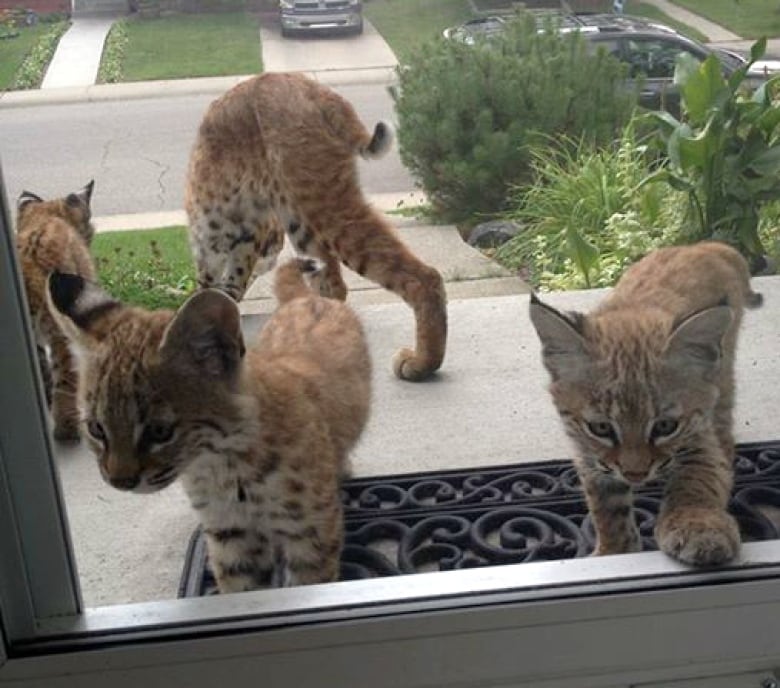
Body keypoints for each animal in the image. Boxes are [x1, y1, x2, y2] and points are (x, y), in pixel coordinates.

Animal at [48, 258, 372, 592]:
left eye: (160, 431)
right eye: (97, 429)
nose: (119, 482)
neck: (225, 464)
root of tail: (307, 299)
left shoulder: (308, 532)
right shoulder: (230, 532)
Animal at [185, 71, 448, 382]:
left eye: (269, 243)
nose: (269, 256)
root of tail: (315, 87)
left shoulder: (223, 253)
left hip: (320, 202)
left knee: (422, 275)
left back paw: (422, 363)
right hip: (301, 221)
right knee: (334, 285)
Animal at [532, 242, 760, 564]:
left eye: (665, 426)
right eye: (601, 428)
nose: (635, 475)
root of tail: (699, 245)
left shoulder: (697, 432)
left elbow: (697, 479)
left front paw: (699, 527)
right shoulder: (586, 450)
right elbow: (605, 508)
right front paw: (614, 551)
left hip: (722, 378)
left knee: (724, 427)